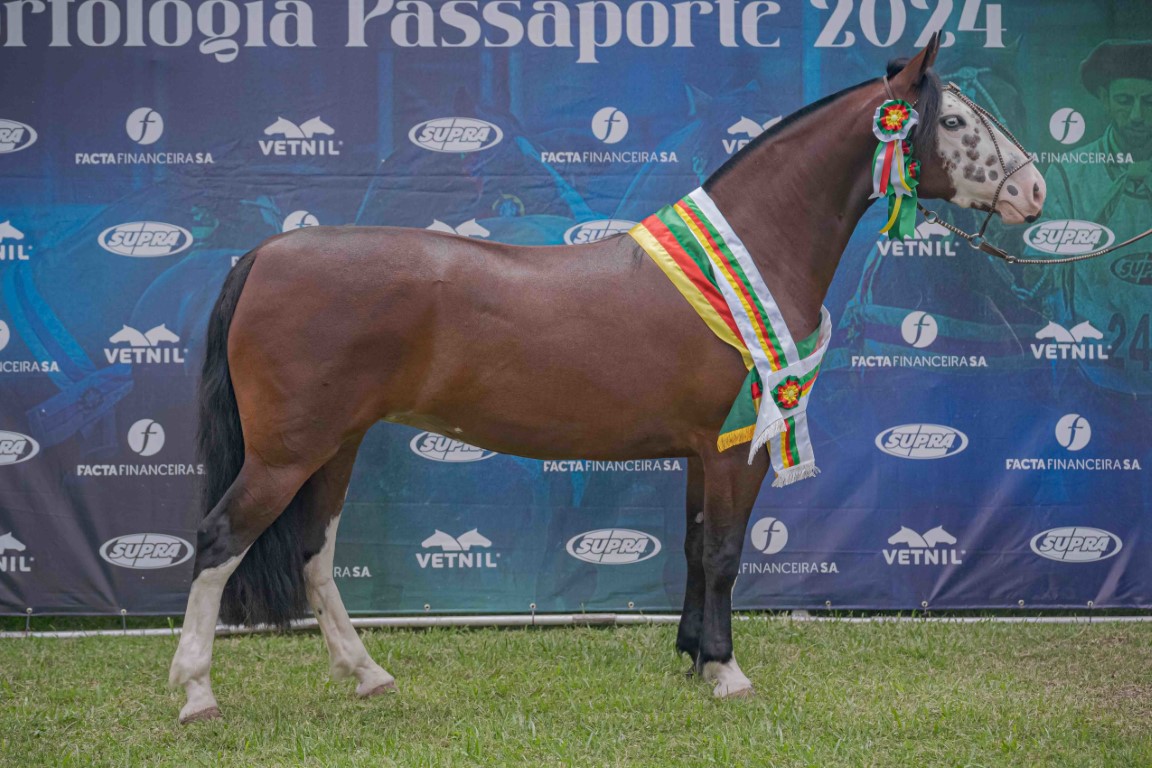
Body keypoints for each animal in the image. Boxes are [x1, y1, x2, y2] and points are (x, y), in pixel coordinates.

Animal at [168, 35, 1046, 723]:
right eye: (956, 121)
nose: (1034, 190)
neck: (750, 250)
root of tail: (266, 255)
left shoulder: (699, 450)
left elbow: (694, 548)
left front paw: (691, 658)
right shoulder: (734, 447)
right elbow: (724, 552)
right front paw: (727, 671)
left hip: (335, 444)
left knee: (313, 552)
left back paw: (368, 674)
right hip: (287, 451)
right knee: (219, 539)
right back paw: (196, 693)